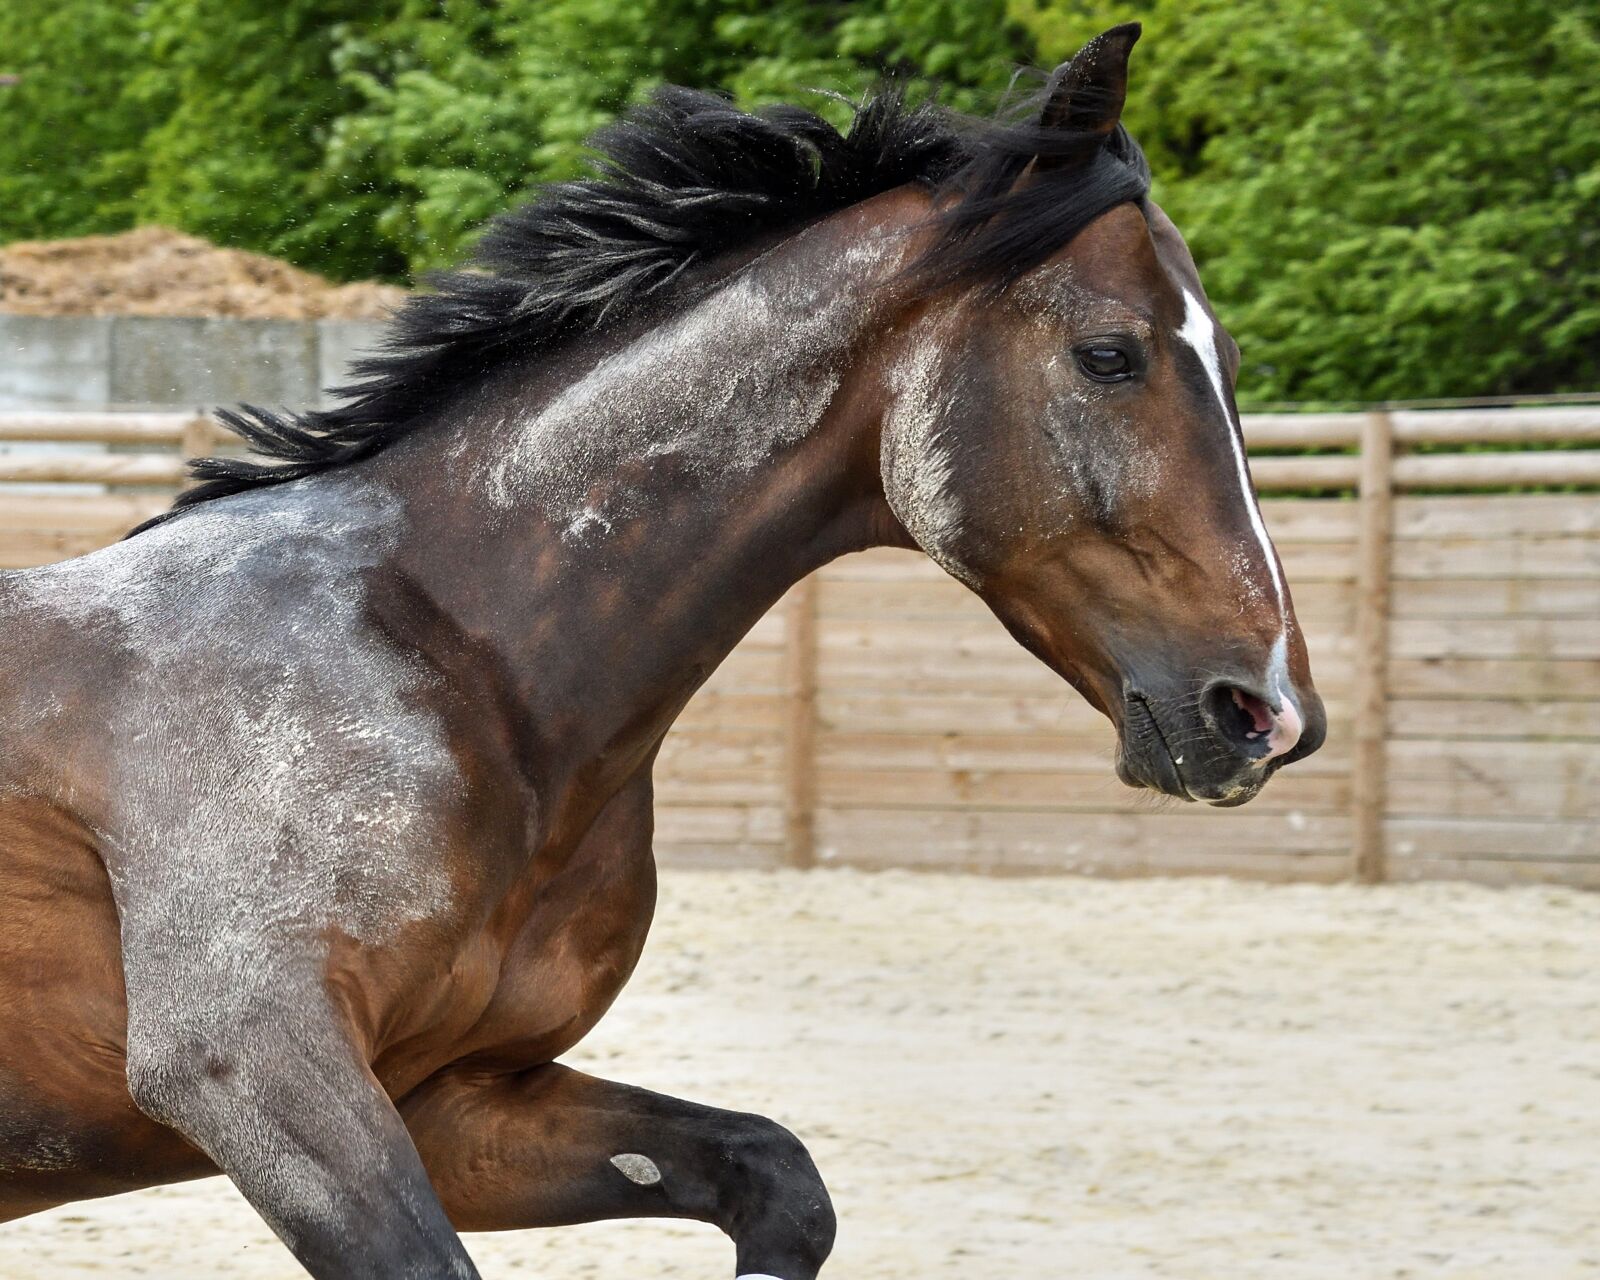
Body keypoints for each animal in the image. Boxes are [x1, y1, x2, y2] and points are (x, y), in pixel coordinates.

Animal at [0, 24, 1323, 1278]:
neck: (461, 665)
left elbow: (779, 1177)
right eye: (1109, 353)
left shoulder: (452, 1098)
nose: (1265, 709)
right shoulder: (261, 1070)